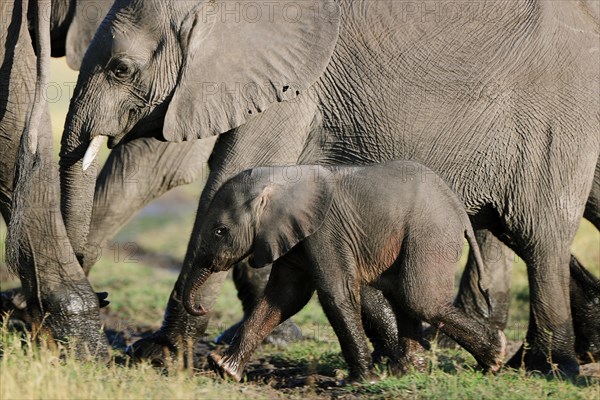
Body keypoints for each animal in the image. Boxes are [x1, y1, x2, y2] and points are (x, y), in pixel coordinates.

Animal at [183, 160, 506, 382]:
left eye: (220, 231)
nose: (200, 307)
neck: (283, 177)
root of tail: (460, 211)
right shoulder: (294, 237)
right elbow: (283, 298)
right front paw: (224, 370)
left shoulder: (325, 231)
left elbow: (335, 292)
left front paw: (363, 380)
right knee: (404, 295)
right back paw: (406, 372)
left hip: (431, 232)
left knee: (419, 298)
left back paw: (495, 357)